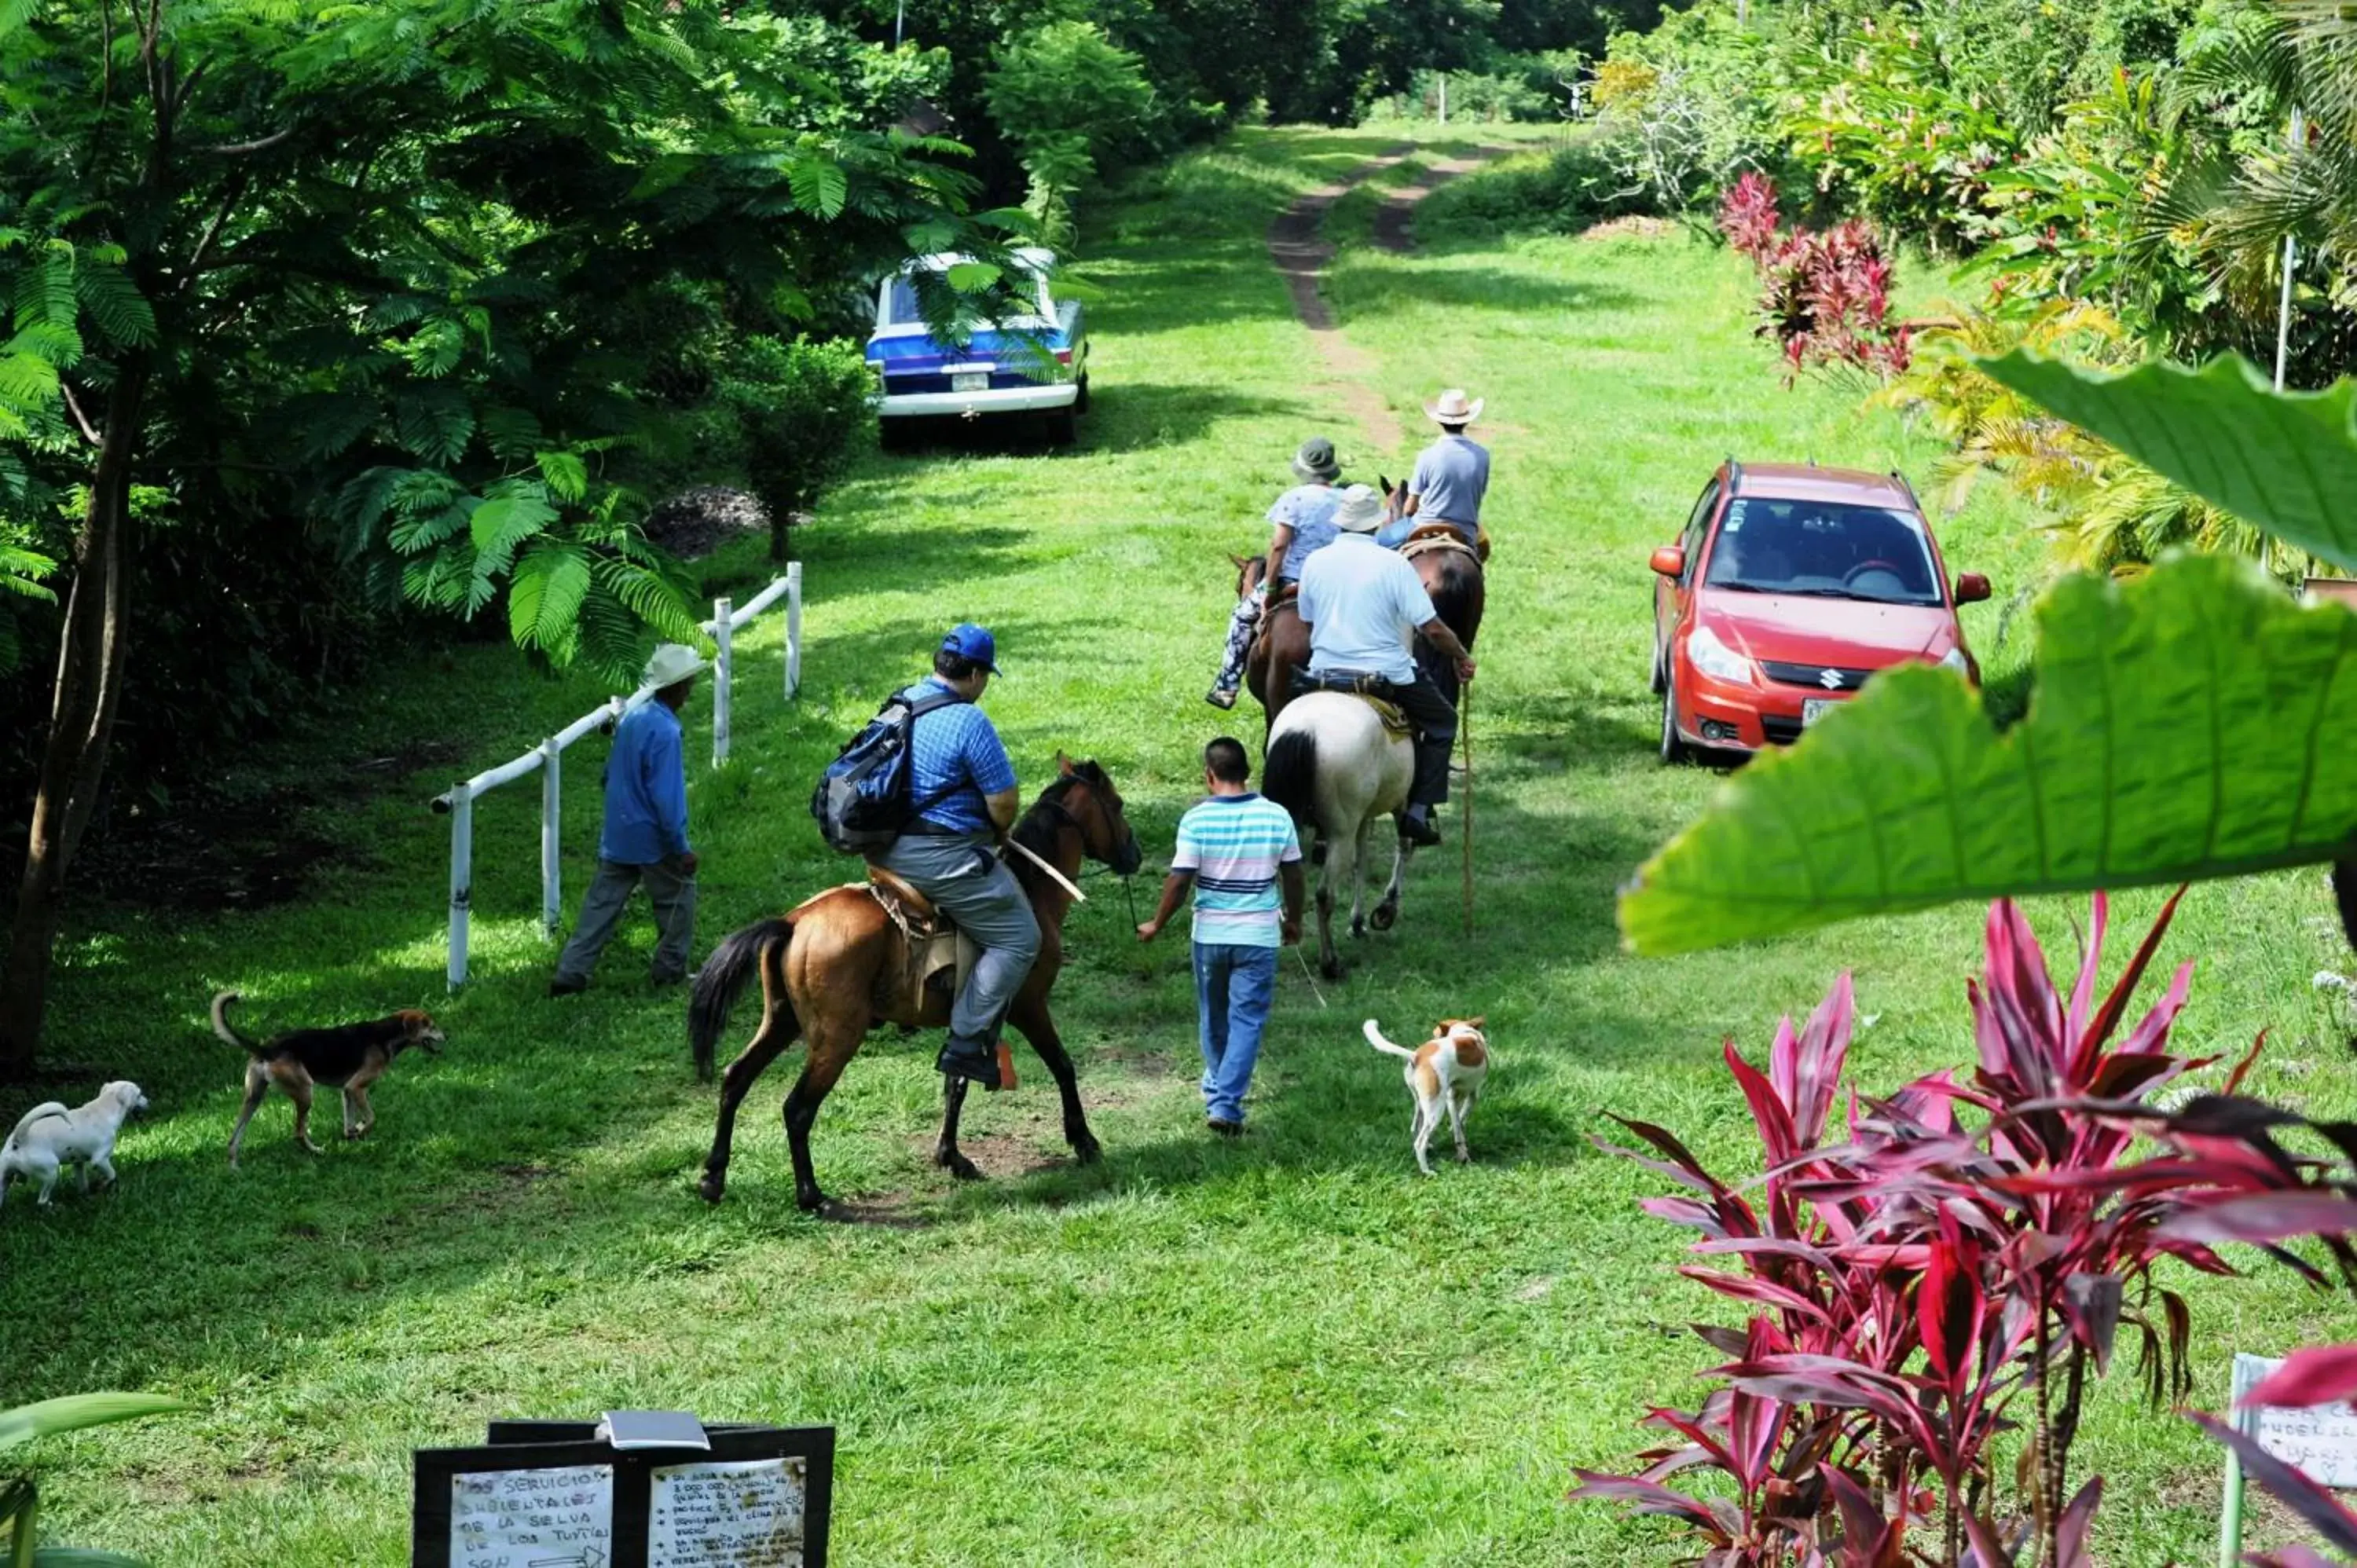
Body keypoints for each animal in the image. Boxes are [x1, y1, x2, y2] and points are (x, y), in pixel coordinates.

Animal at [0, 1075, 146, 1207]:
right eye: (139, 1094)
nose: (148, 1101)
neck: (104, 1108)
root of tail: (18, 1140)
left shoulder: (78, 1164)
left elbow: (83, 1183)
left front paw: (86, 1196)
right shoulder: (100, 1160)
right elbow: (112, 1174)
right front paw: (104, 1184)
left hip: (4, 1180)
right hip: (51, 1172)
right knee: (42, 1200)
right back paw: (53, 1207)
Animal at [214, 990, 443, 1160]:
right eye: (432, 1026)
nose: (447, 1036)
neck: (385, 1034)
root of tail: (267, 1049)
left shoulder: (347, 1091)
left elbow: (349, 1120)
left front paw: (352, 1133)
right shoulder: (356, 1087)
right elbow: (371, 1118)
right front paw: (361, 1129)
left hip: (253, 1098)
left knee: (233, 1140)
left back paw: (235, 1170)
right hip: (305, 1092)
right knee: (298, 1133)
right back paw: (316, 1152)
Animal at [688, 754, 1141, 1207]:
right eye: (1117, 805)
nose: (1134, 855)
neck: (1033, 893)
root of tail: (793, 922)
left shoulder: (976, 1017)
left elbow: (957, 1081)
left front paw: (952, 1156)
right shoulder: (1029, 1007)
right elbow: (1062, 1065)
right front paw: (1084, 1141)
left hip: (781, 1022)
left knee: (735, 1079)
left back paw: (713, 1177)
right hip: (837, 1036)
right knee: (797, 1109)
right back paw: (812, 1195)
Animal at [1367, 1013, 1490, 1174]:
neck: (1463, 1031)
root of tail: (1417, 1056)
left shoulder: (1451, 1098)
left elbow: (1457, 1125)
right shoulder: (1472, 1095)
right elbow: (1461, 1118)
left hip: (1422, 1102)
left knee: (1416, 1127)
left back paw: (1427, 1149)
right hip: (1436, 1109)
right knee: (1420, 1142)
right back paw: (1427, 1171)